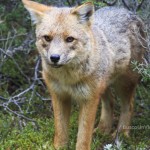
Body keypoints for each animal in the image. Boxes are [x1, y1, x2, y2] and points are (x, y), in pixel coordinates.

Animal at [22, 0, 145, 149]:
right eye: (47, 38)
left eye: (70, 39)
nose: (54, 58)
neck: (67, 79)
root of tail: (126, 10)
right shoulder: (59, 96)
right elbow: (60, 132)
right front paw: (59, 147)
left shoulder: (88, 100)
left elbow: (83, 136)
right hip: (102, 88)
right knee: (110, 102)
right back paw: (103, 130)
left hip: (124, 84)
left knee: (129, 106)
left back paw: (121, 135)